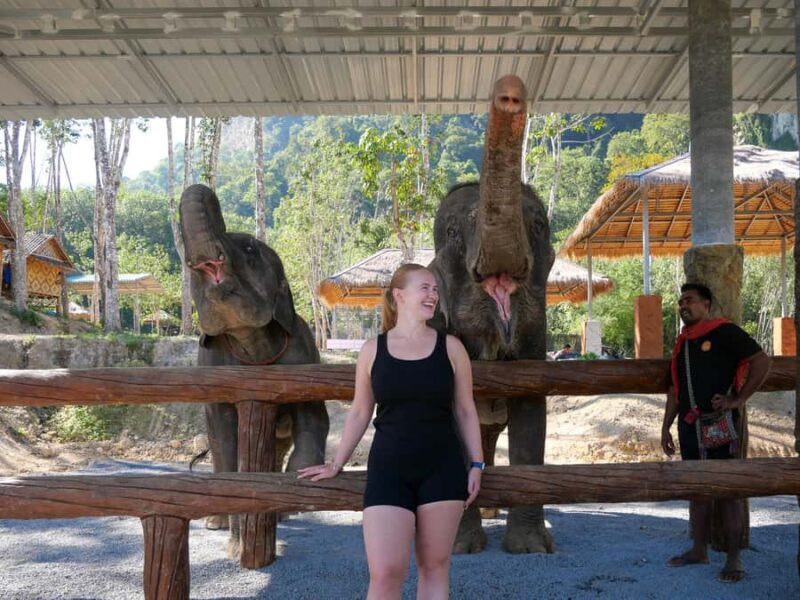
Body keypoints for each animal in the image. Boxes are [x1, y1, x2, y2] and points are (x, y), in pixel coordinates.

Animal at [179, 184, 329, 558]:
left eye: (249, 247)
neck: (252, 342)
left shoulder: (304, 352)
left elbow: (314, 416)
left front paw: (294, 491)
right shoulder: (213, 363)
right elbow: (226, 438)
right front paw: (236, 546)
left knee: (279, 444)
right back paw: (215, 522)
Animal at [427, 75, 556, 554]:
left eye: (539, 227)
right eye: (450, 232)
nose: (510, 92)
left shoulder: (538, 340)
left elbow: (531, 419)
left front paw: (532, 548)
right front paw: (459, 548)